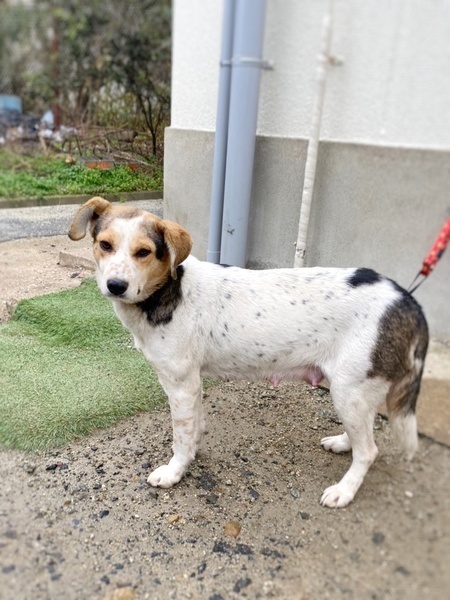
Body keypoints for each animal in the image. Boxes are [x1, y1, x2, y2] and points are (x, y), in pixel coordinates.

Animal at [69, 197, 429, 508]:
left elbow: (181, 437)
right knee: (363, 433)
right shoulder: (193, 383)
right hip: (356, 393)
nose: (115, 286)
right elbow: (195, 424)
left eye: (143, 252)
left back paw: (345, 490)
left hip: (348, 390)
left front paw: (175, 470)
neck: (170, 289)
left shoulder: (180, 385)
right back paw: (343, 442)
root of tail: (406, 299)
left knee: (369, 451)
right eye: (105, 245)